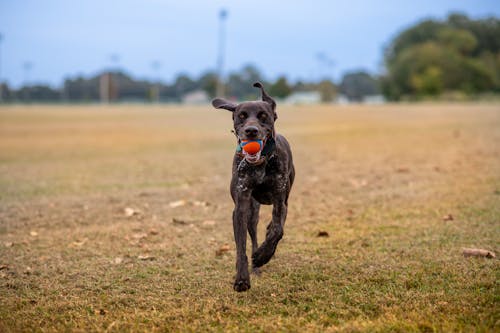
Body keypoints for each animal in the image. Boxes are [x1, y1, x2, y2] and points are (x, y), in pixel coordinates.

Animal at [210, 81, 292, 290]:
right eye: (242, 116)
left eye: (264, 116)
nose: (251, 131)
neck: (261, 163)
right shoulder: (241, 206)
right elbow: (241, 247)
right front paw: (242, 278)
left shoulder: (280, 200)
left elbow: (277, 230)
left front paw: (263, 256)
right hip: (252, 211)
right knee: (253, 234)